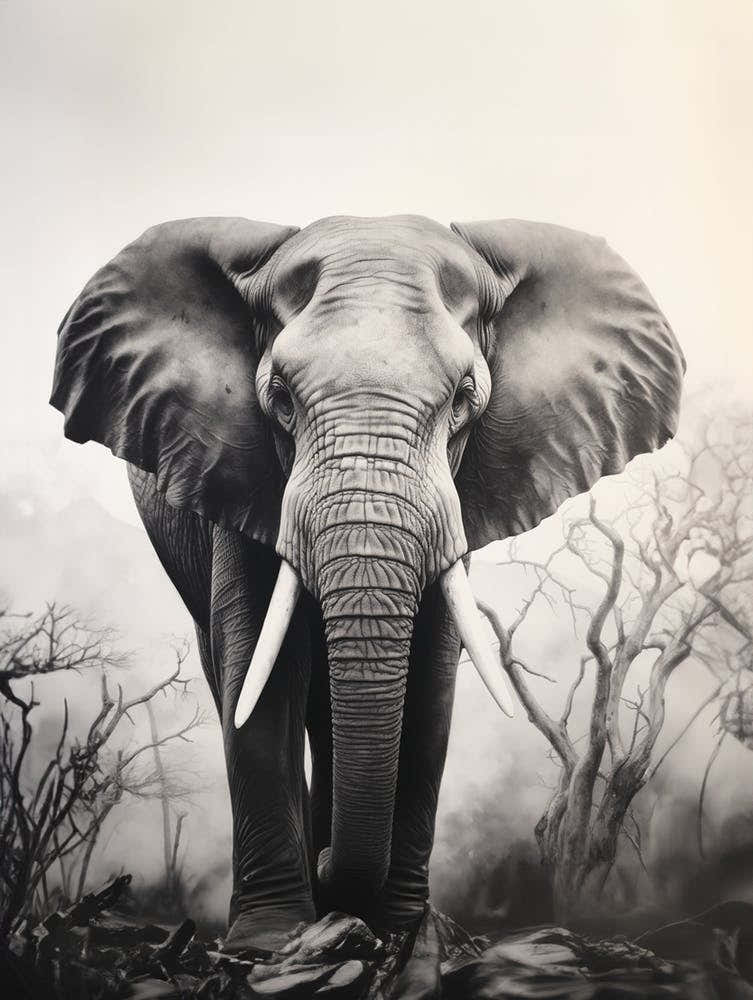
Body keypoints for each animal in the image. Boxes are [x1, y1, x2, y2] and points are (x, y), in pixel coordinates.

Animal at [50, 214, 684, 952]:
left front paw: (405, 929)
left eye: (465, 398)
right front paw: (269, 940)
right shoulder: (235, 469)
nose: (328, 869)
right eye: (279, 398)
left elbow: (430, 682)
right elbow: (259, 674)